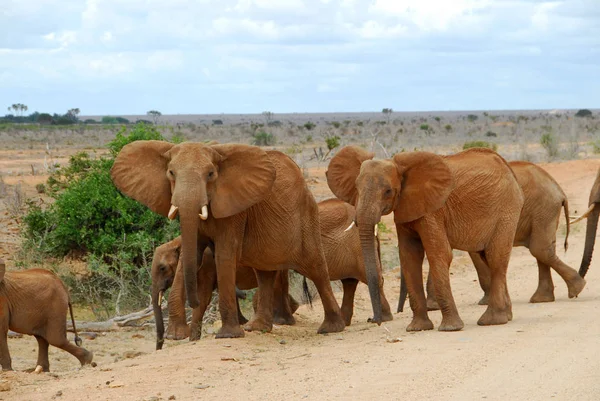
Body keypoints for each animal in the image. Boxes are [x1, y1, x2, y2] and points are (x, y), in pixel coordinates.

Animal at [112, 141, 344, 338]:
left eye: (210, 174)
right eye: (171, 173)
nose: (193, 302)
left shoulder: (234, 209)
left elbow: (224, 254)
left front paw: (228, 335)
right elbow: (191, 254)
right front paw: (178, 336)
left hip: (307, 216)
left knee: (315, 268)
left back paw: (330, 328)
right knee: (265, 273)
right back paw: (257, 328)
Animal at [326, 145, 524, 330]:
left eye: (388, 191)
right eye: (356, 188)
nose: (374, 320)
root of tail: (508, 167)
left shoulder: (433, 210)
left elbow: (439, 253)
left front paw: (450, 328)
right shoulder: (406, 207)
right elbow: (409, 256)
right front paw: (417, 328)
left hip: (507, 209)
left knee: (495, 257)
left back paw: (492, 320)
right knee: (487, 257)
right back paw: (507, 316)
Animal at [398, 161, 584, 310]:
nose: (399, 311)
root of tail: (559, 190)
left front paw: (485, 302)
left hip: (544, 210)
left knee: (540, 249)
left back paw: (575, 289)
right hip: (544, 212)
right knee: (541, 250)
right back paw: (544, 298)